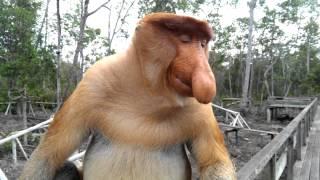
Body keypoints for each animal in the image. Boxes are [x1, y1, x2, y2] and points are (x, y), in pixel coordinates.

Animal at [19, 13, 235, 180]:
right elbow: (46, 157)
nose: (206, 78)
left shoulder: (199, 108)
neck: (150, 92)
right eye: (185, 39)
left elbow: (214, 163)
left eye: (202, 43)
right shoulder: (93, 83)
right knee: (66, 168)